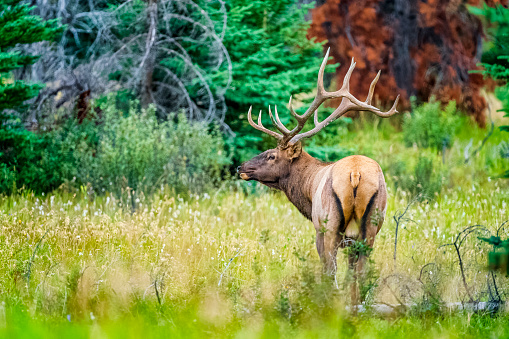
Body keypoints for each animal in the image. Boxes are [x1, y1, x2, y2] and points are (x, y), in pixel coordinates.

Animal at [236, 48, 398, 302]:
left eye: (272, 155)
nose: (241, 168)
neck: (309, 189)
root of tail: (355, 174)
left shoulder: (317, 228)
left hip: (330, 225)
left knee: (331, 271)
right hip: (371, 226)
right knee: (361, 273)